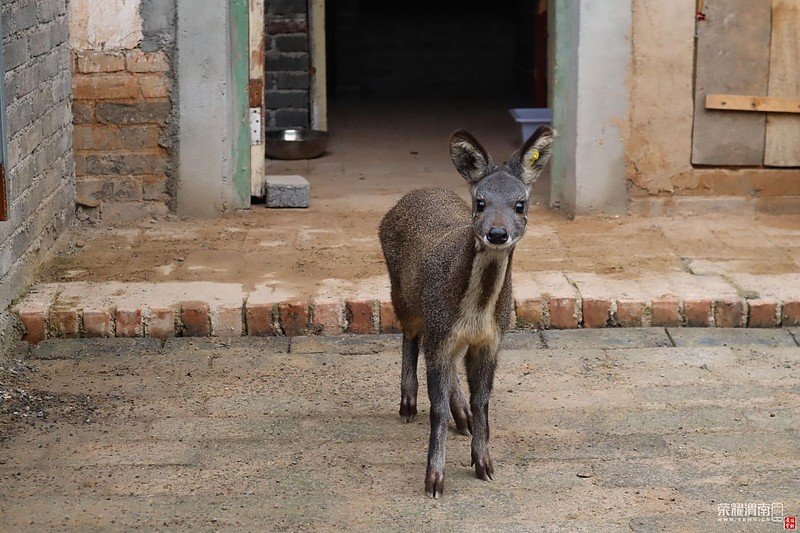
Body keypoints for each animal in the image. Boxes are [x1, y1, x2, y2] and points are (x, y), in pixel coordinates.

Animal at [378, 125, 552, 498]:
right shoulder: (440, 327)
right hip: (403, 294)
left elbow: (482, 401)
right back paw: (408, 403)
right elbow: (437, 410)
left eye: (520, 203)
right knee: (409, 335)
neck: (477, 310)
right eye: (480, 202)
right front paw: (434, 479)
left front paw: (483, 463)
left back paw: (462, 417)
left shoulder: (491, 340)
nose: (497, 233)